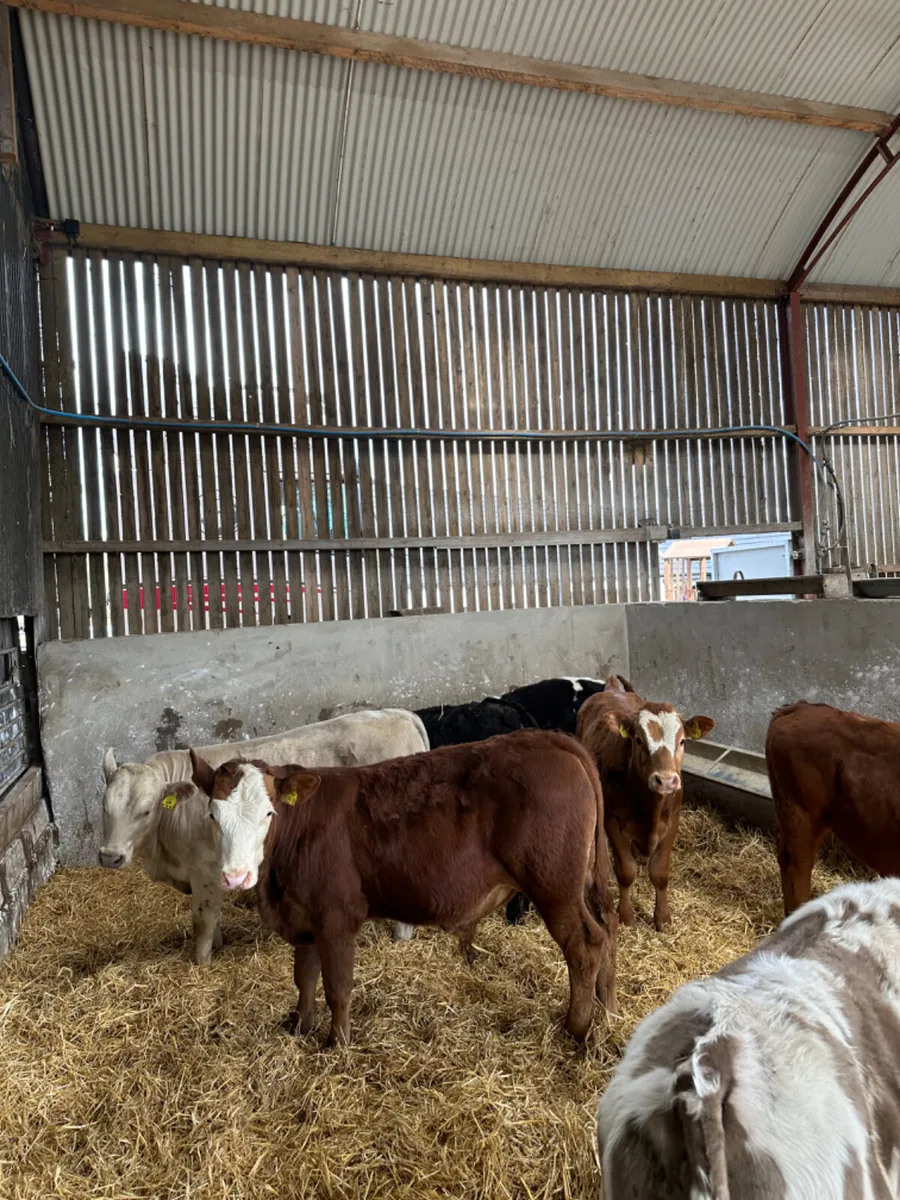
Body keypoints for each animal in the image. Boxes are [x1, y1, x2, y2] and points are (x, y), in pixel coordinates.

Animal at [98, 709, 428, 960]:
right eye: (104, 807)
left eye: (146, 811)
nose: (110, 857)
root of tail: (397, 713)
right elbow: (214, 922)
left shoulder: (205, 872)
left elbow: (202, 923)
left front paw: (201, 963)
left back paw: (401, 937)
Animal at [192, 729, 618, 1047]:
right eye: (212, 814)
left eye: (269, 812)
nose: (235, 876)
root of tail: (548, 738)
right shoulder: (304, 915)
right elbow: (305, 977)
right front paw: (300, 1027)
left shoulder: (336, 917)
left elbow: (337, 986)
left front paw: (336, 1045)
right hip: (583, 884)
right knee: (607, 929)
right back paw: (608, 1009)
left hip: (554, 886)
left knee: (585, 944)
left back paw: (576, 1027)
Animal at [577, 675, 714, 930]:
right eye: (639, 740)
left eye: (682, 741)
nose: (666, 780)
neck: (650, 806)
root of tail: (612, 689)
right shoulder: (613, 822)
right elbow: (626, 871)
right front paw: (626, 915)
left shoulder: (672, 823)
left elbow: (659, 873)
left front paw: (662, 918)